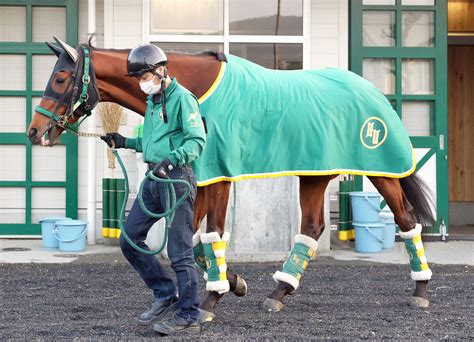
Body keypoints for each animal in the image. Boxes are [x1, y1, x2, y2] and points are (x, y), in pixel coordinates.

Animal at [27, 38, 436, 322]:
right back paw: (279, 291)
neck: (194, 88)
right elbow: (190, 243)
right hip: (314, 173)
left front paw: (211, 299)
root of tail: (372, 91)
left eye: (60, 77)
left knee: (406, 219)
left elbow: (210, 235)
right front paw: (233, 282)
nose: (35, 132)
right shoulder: (199, 181)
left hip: (381, 170)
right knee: (312, 226)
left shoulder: (218, 177)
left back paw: (421, 288)